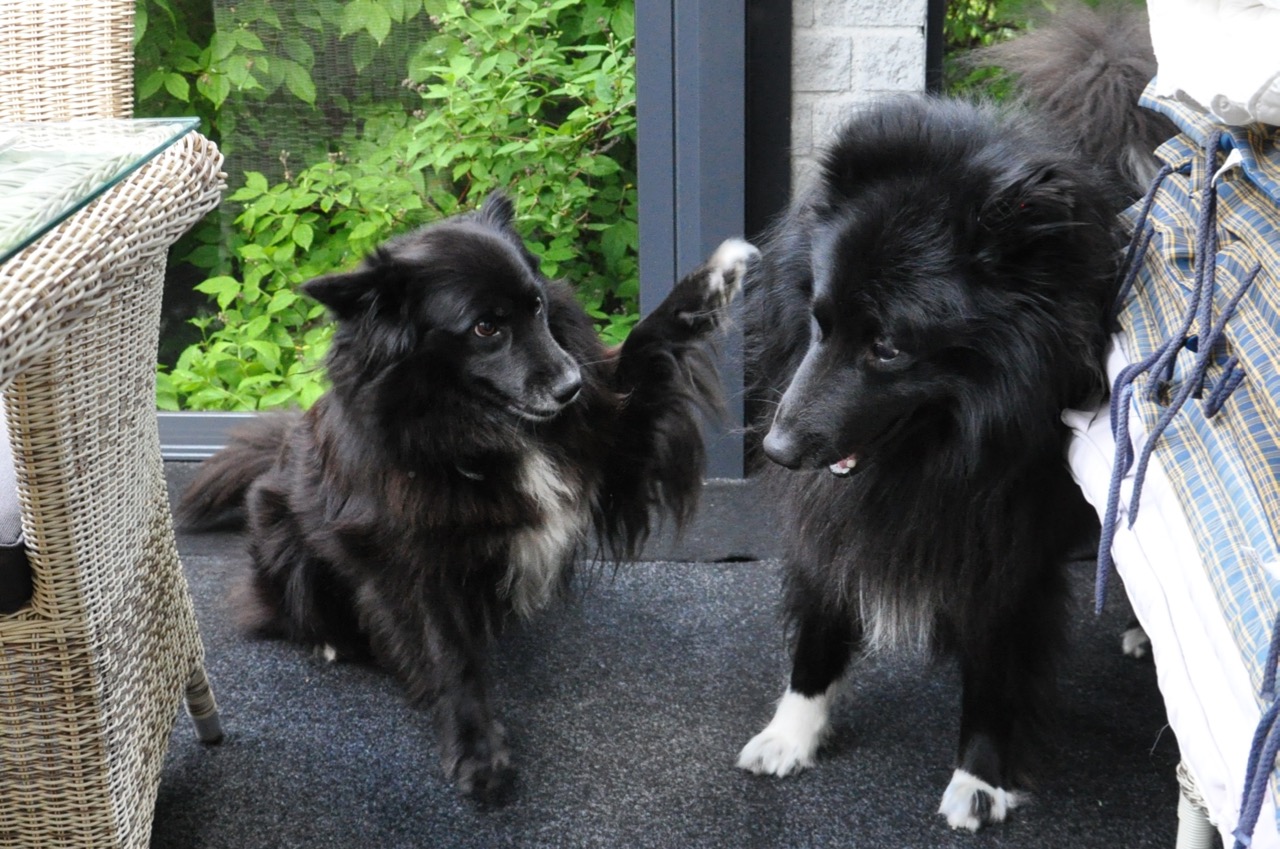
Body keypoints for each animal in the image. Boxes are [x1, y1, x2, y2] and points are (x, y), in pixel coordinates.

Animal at [178, 192, 757, 802]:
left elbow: (646, 341)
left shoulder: (611, 449)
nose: (572, 387)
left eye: (537, 308)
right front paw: (477, 754)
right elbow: (447, 654)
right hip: (280, 534)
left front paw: (714, 278)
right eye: (484, 328)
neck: (471, 426)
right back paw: (332, 641)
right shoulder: (408, 558)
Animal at [735, 3, 1163, 830]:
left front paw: (980, 778)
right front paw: (792, 730)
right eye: (818, 321)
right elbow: (821, 614)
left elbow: (994, 665)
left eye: (890, 348)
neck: (941, 448)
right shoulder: (832, 509)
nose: (777, 447)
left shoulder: (1007, 541)